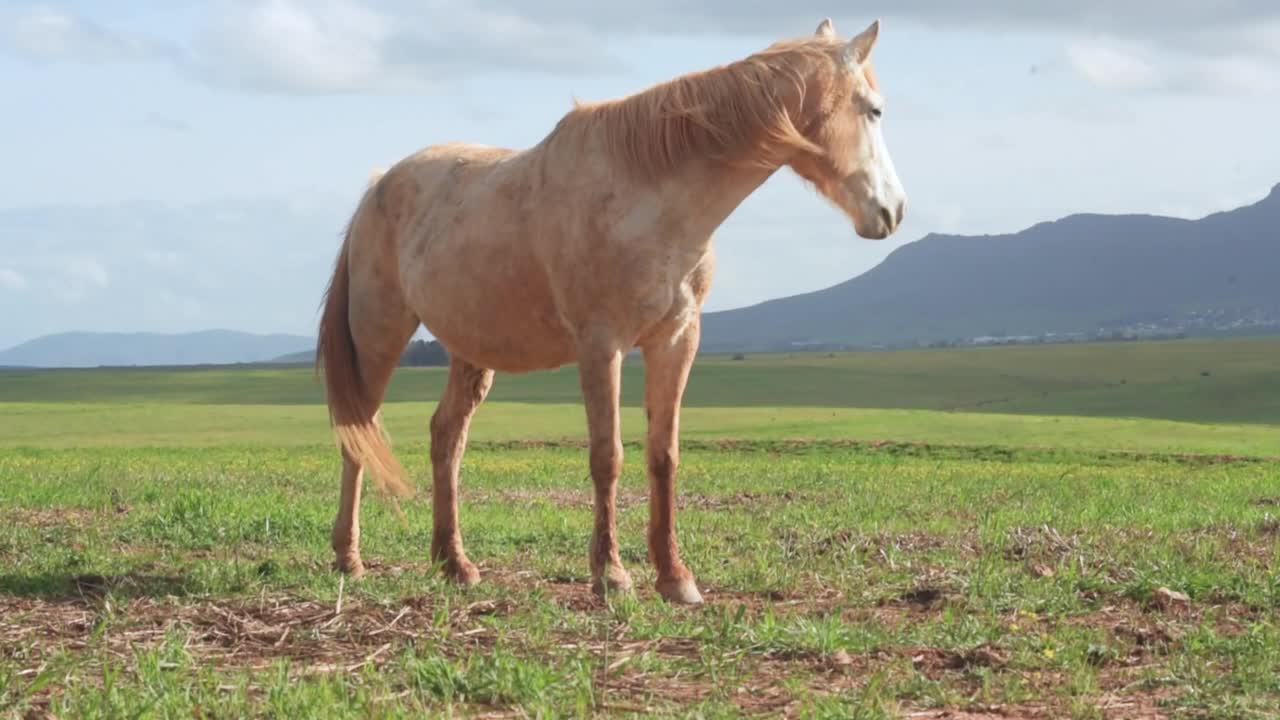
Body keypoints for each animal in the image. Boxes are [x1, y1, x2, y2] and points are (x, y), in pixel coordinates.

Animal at [313, 15, 906, 599]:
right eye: (874, 109)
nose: (894, 210)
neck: (650, 197)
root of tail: (377, 188)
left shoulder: (677, 340)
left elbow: (663, 456)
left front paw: (675, 577)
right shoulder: (602, 346)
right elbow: (608, 456)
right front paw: (611, 574)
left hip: (470, 350)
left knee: (446, 438)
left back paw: (453, 563)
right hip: (379, 335)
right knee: (359, 433)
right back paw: (349, 558)